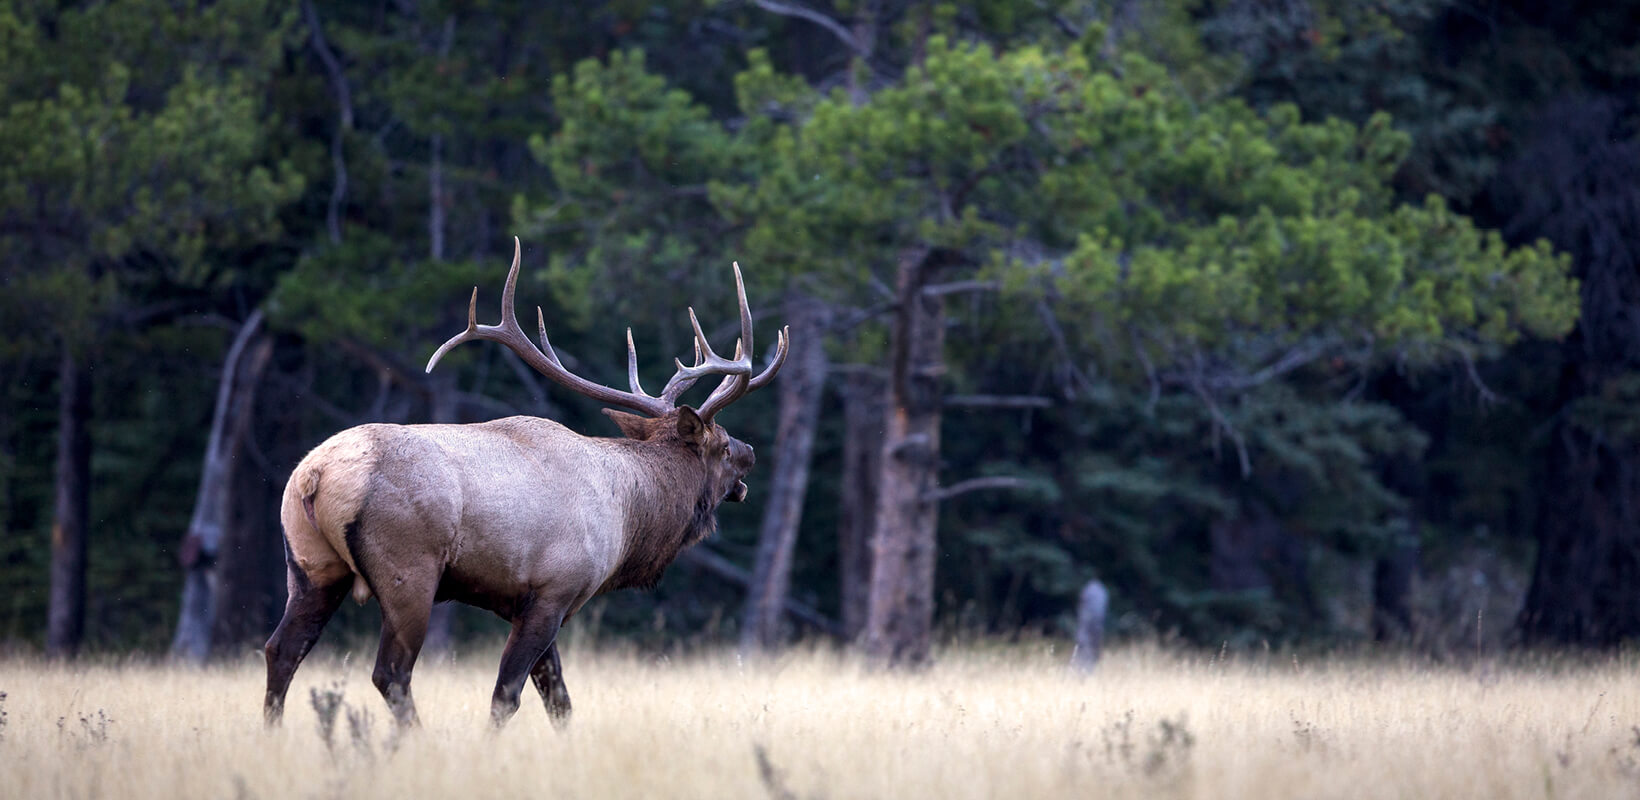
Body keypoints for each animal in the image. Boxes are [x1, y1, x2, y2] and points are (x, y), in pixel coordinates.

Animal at [264, 234, 787, 727]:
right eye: (723, 447)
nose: (752, 453)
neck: (628, 519)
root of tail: (314, 475)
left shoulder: (521, 602)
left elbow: (559, 701)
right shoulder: (555, 590)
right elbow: (507, 696)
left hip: (310, 567)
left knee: (280, 651)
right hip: (408, 571)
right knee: (391, 673)